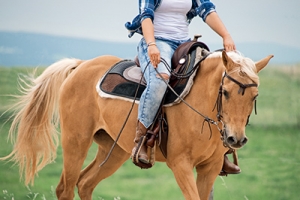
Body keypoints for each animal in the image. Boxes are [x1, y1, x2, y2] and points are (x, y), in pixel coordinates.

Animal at [0, 48, 272, 200]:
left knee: (85, 183)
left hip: (114, 150)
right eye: (225, 92)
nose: (235, 139)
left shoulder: (210, 168)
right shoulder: (181, 165)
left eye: (254, 96)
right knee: (65, 189)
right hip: (75, 142)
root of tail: (80, 65)